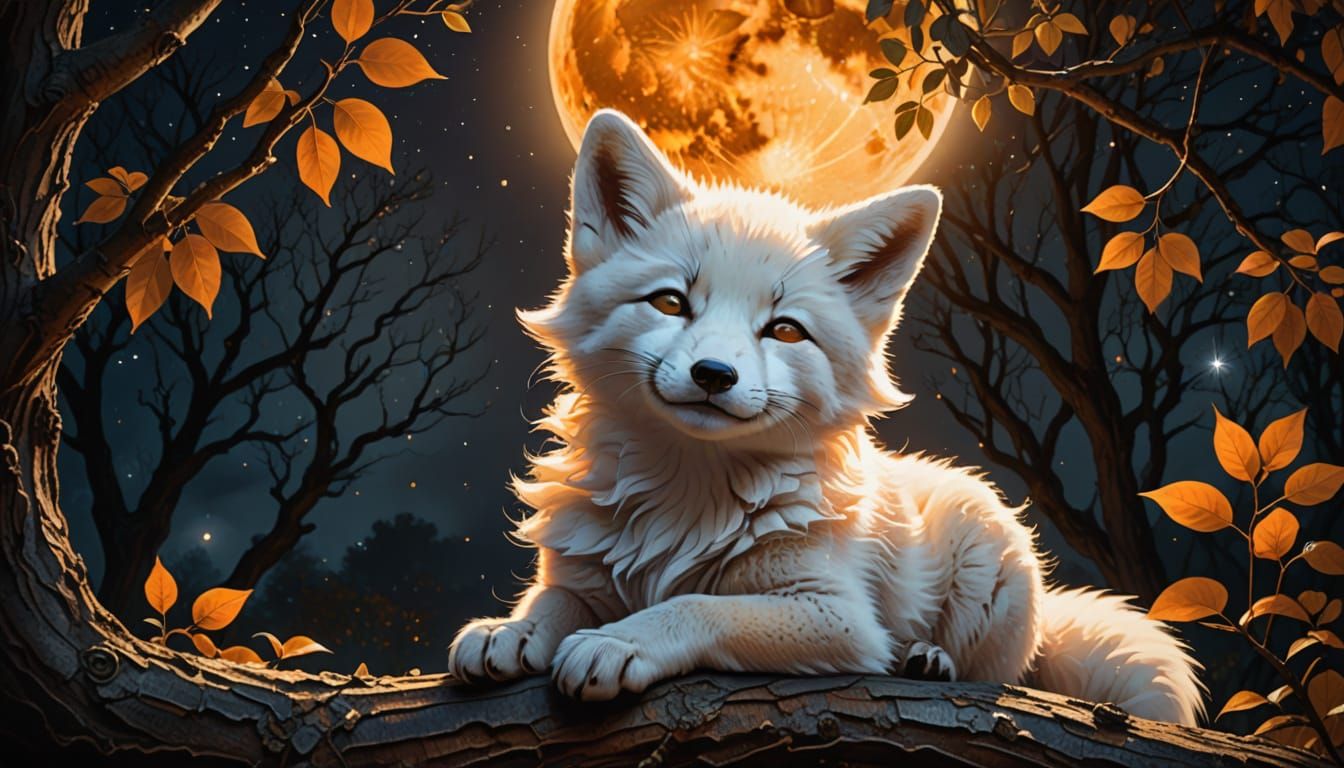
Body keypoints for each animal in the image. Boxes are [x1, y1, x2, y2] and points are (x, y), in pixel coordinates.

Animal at [448, 109, 1205, 725]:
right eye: (670, 302)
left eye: (784, 330)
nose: (714, 376)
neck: (685, 498)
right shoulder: (583, 573)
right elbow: (551, 600)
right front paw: (508, 632)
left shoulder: (840, 619)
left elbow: (700, 606)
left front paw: (618, 641)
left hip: (988, 570)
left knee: (998, 670)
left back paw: (929, 660)